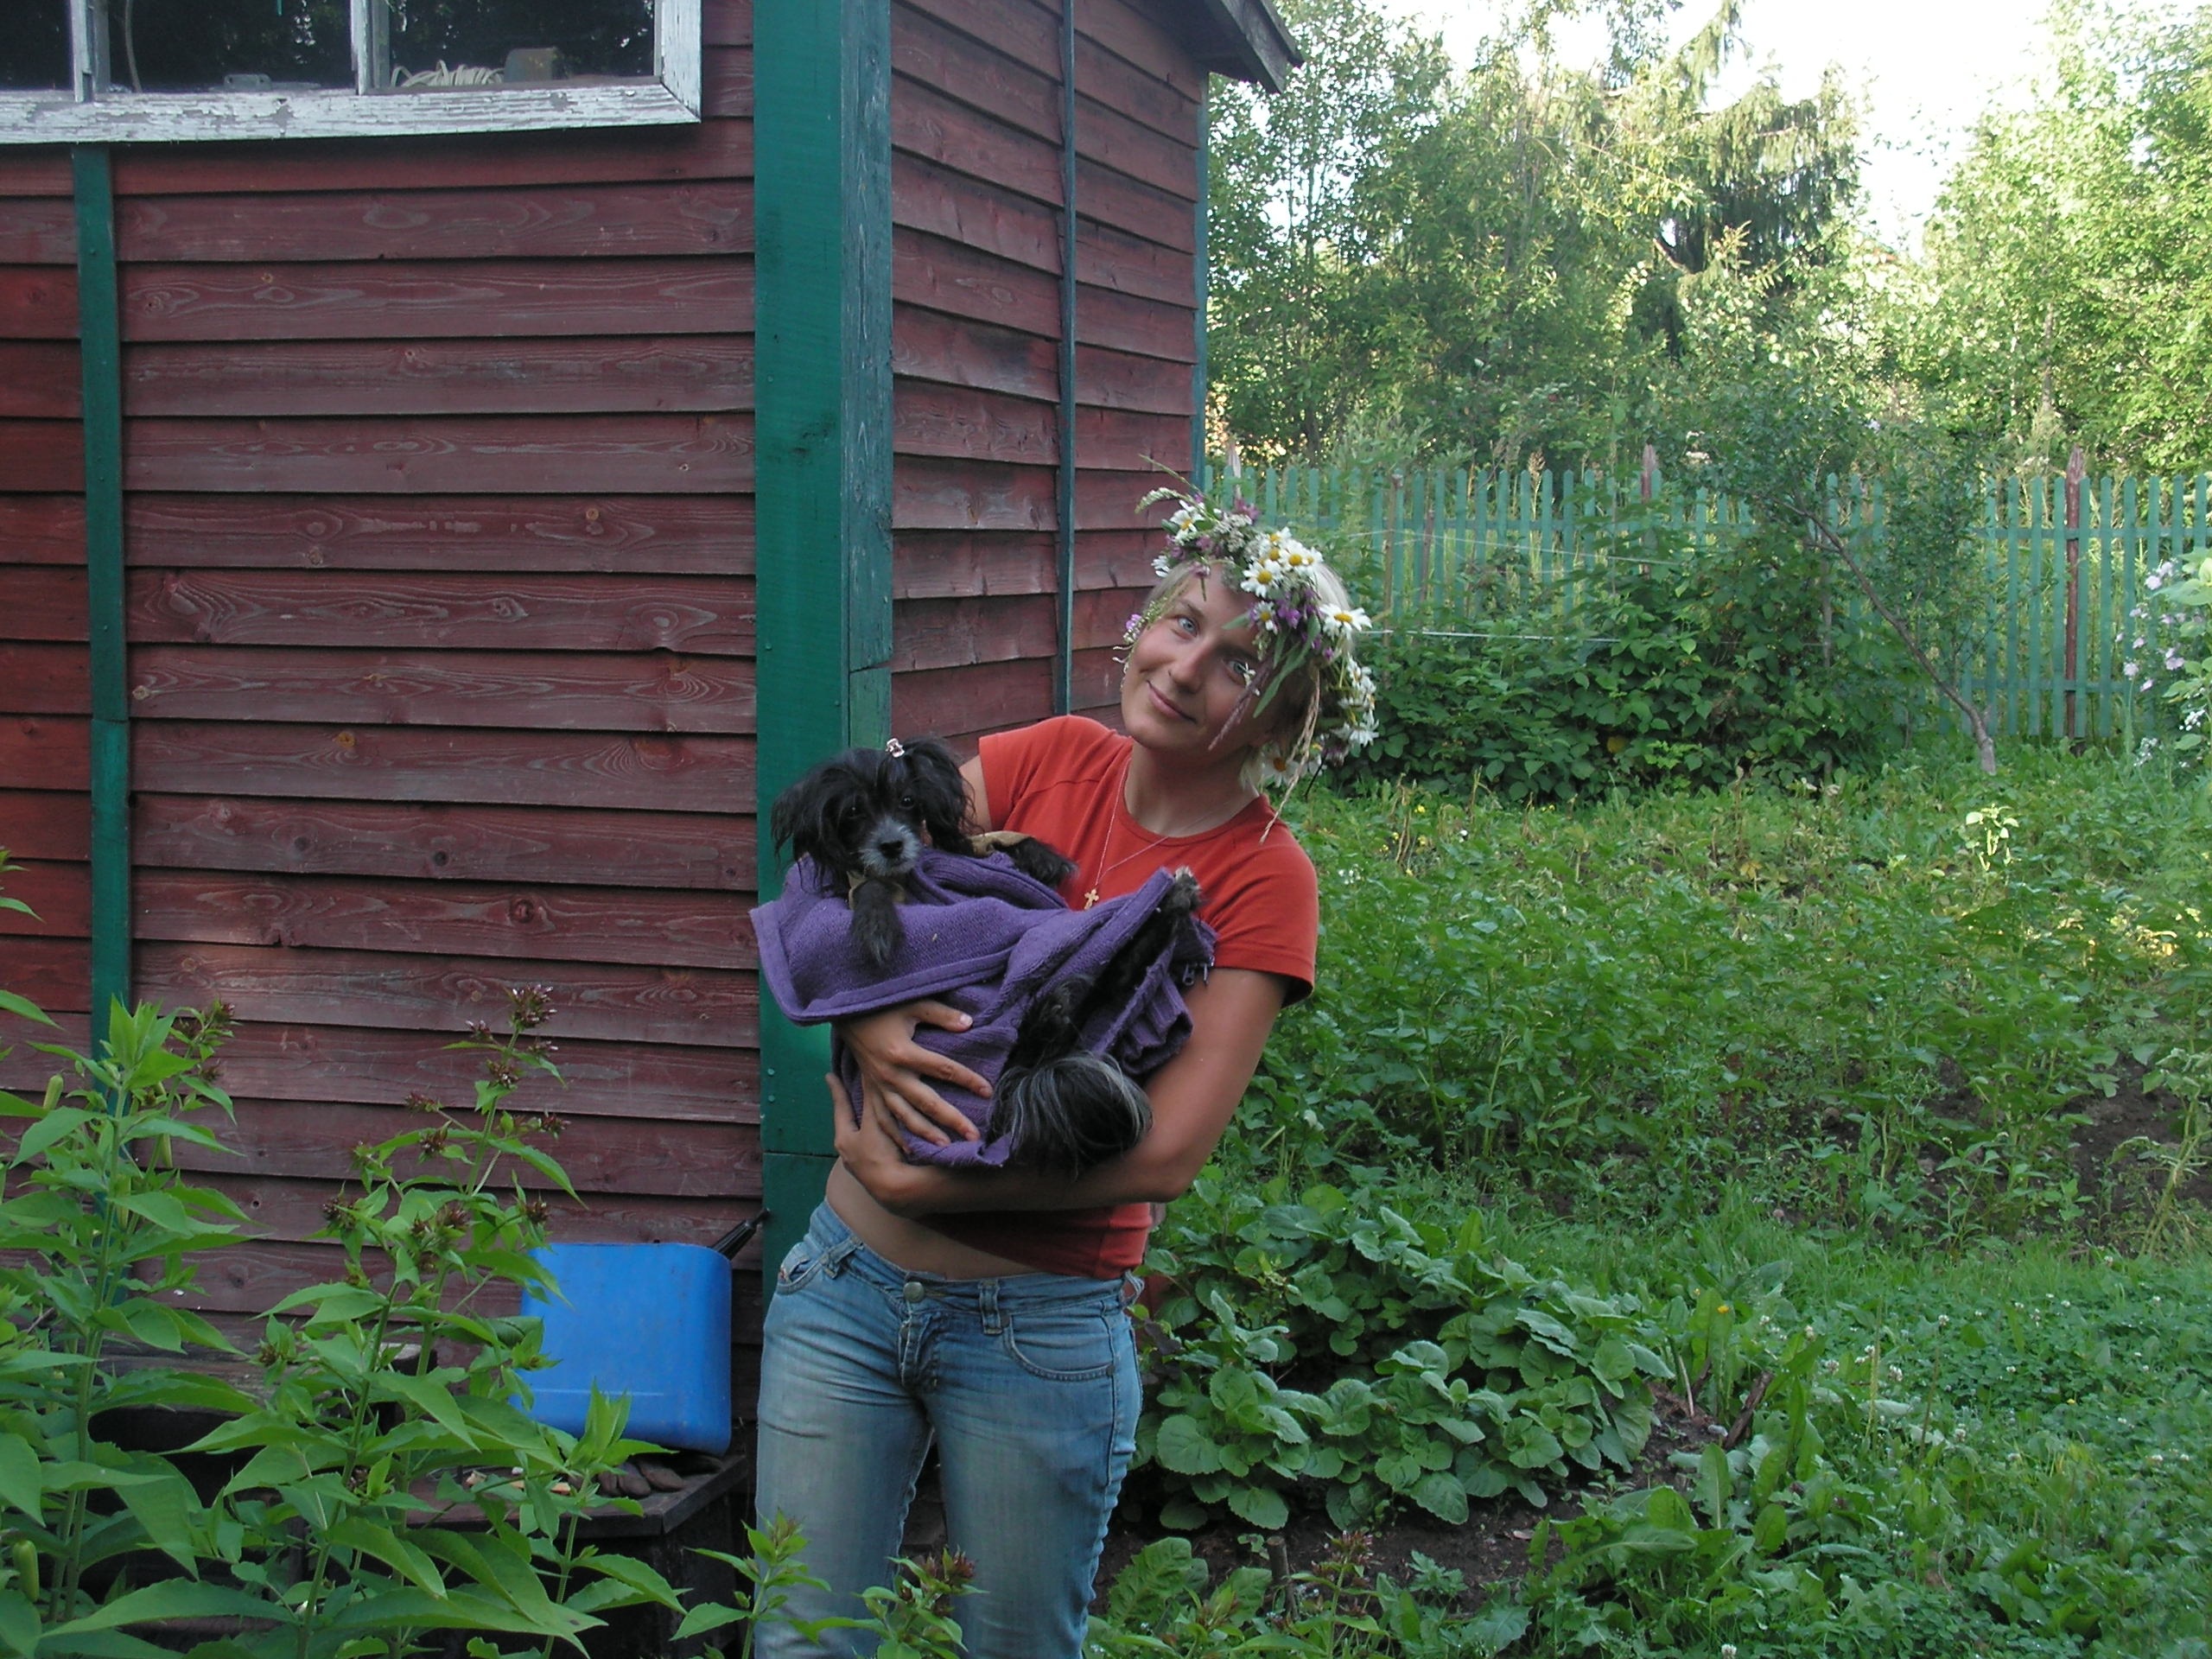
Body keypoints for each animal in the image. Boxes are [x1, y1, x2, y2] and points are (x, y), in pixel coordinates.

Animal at [765, 738, 1206, 1174]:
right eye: (854, 812)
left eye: (907, 800)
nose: (892, 845)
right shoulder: (862, 885)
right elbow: (868, 888)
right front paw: (876, 924)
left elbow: (992, 841)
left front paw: (1043, 858)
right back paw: (1054, 1010)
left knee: (1113, 979)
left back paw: (1171, 901)